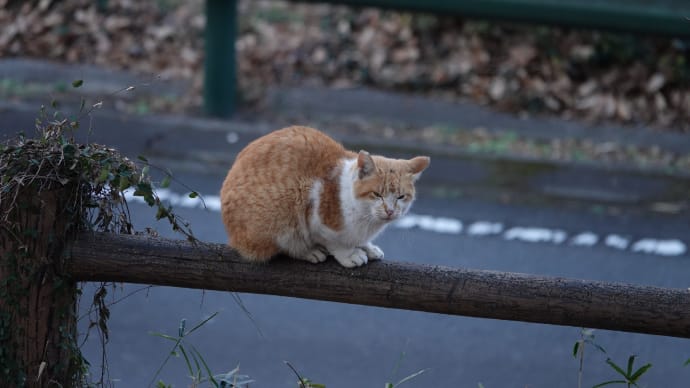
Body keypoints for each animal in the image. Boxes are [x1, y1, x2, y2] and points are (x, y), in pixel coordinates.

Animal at [220, 126, 428, 268]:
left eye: (401, 197)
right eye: (377, 194)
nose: (390, 211)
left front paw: (367, 247)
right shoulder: (316, 217)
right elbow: (335, 242)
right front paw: (350, 254)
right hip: (282, 215)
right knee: (284, 246)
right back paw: (310, 251)